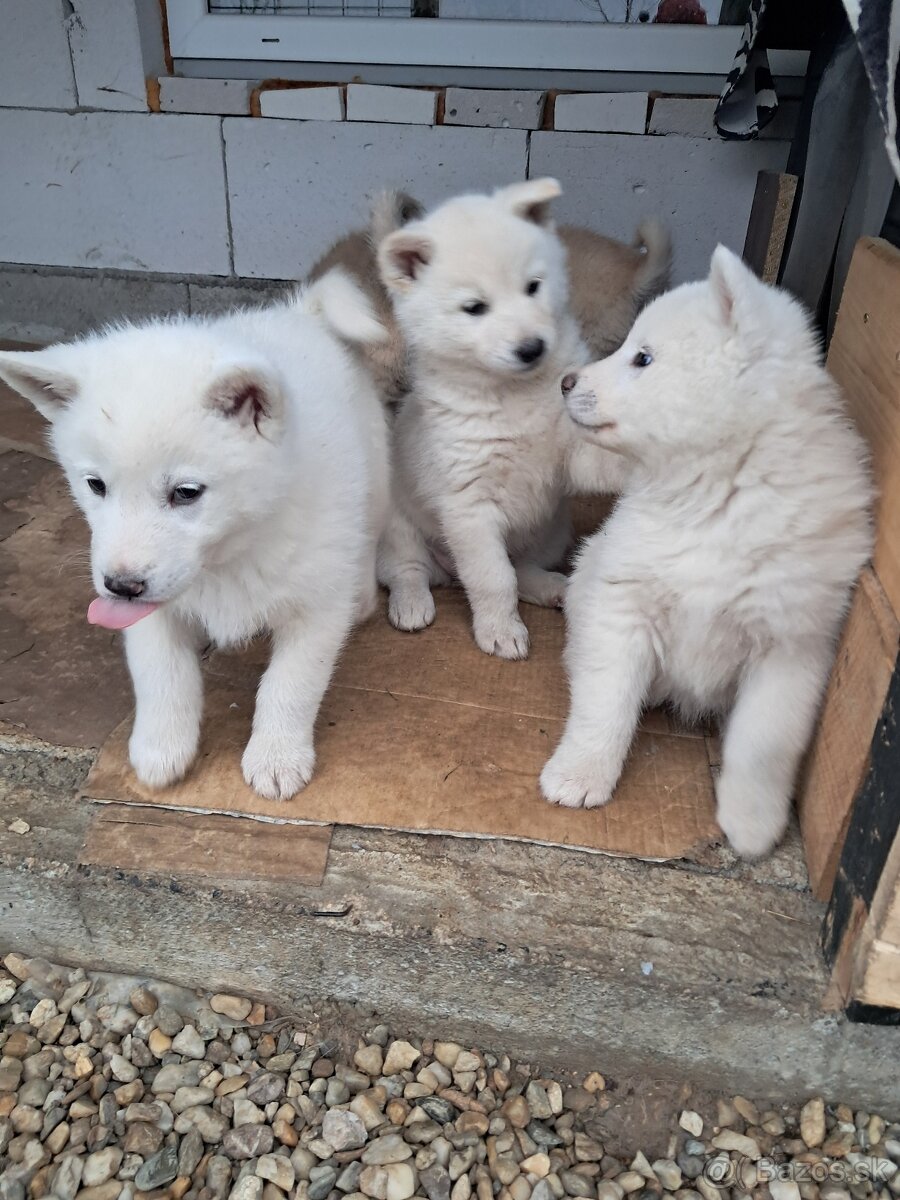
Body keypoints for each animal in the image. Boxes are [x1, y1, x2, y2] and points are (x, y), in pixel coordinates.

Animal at [0, 276, 388, 801]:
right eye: (95, 485)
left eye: (186, 493)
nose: (120, 586)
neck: (232, 555)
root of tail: (301, 314)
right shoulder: (147, 612)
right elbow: (161, 674)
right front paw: (161, 747)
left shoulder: (316, 605)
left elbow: (290, 684)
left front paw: (277, 756)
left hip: (376, 480)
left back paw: (363, 596)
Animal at [374, 180, 633, 657]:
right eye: (475, 308)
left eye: (533, 287)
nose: (531, 348)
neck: (514, 395)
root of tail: (446, 571)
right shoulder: (469, 506)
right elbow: (493, 578)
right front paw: (500, 630)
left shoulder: (570, 455)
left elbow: (601, 460)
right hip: (400, 530)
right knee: (407, 571)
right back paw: (412, 604)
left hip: (551, 530)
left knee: (524, 567)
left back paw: (552, 587)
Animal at [542, 246, 873, 864]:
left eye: (642, 358)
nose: (565, 380)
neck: (714, 491)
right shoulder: (621, 603)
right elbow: (605, 700)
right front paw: (580, 774)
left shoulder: (791, 648)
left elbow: (763, 745)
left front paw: (752, 824)